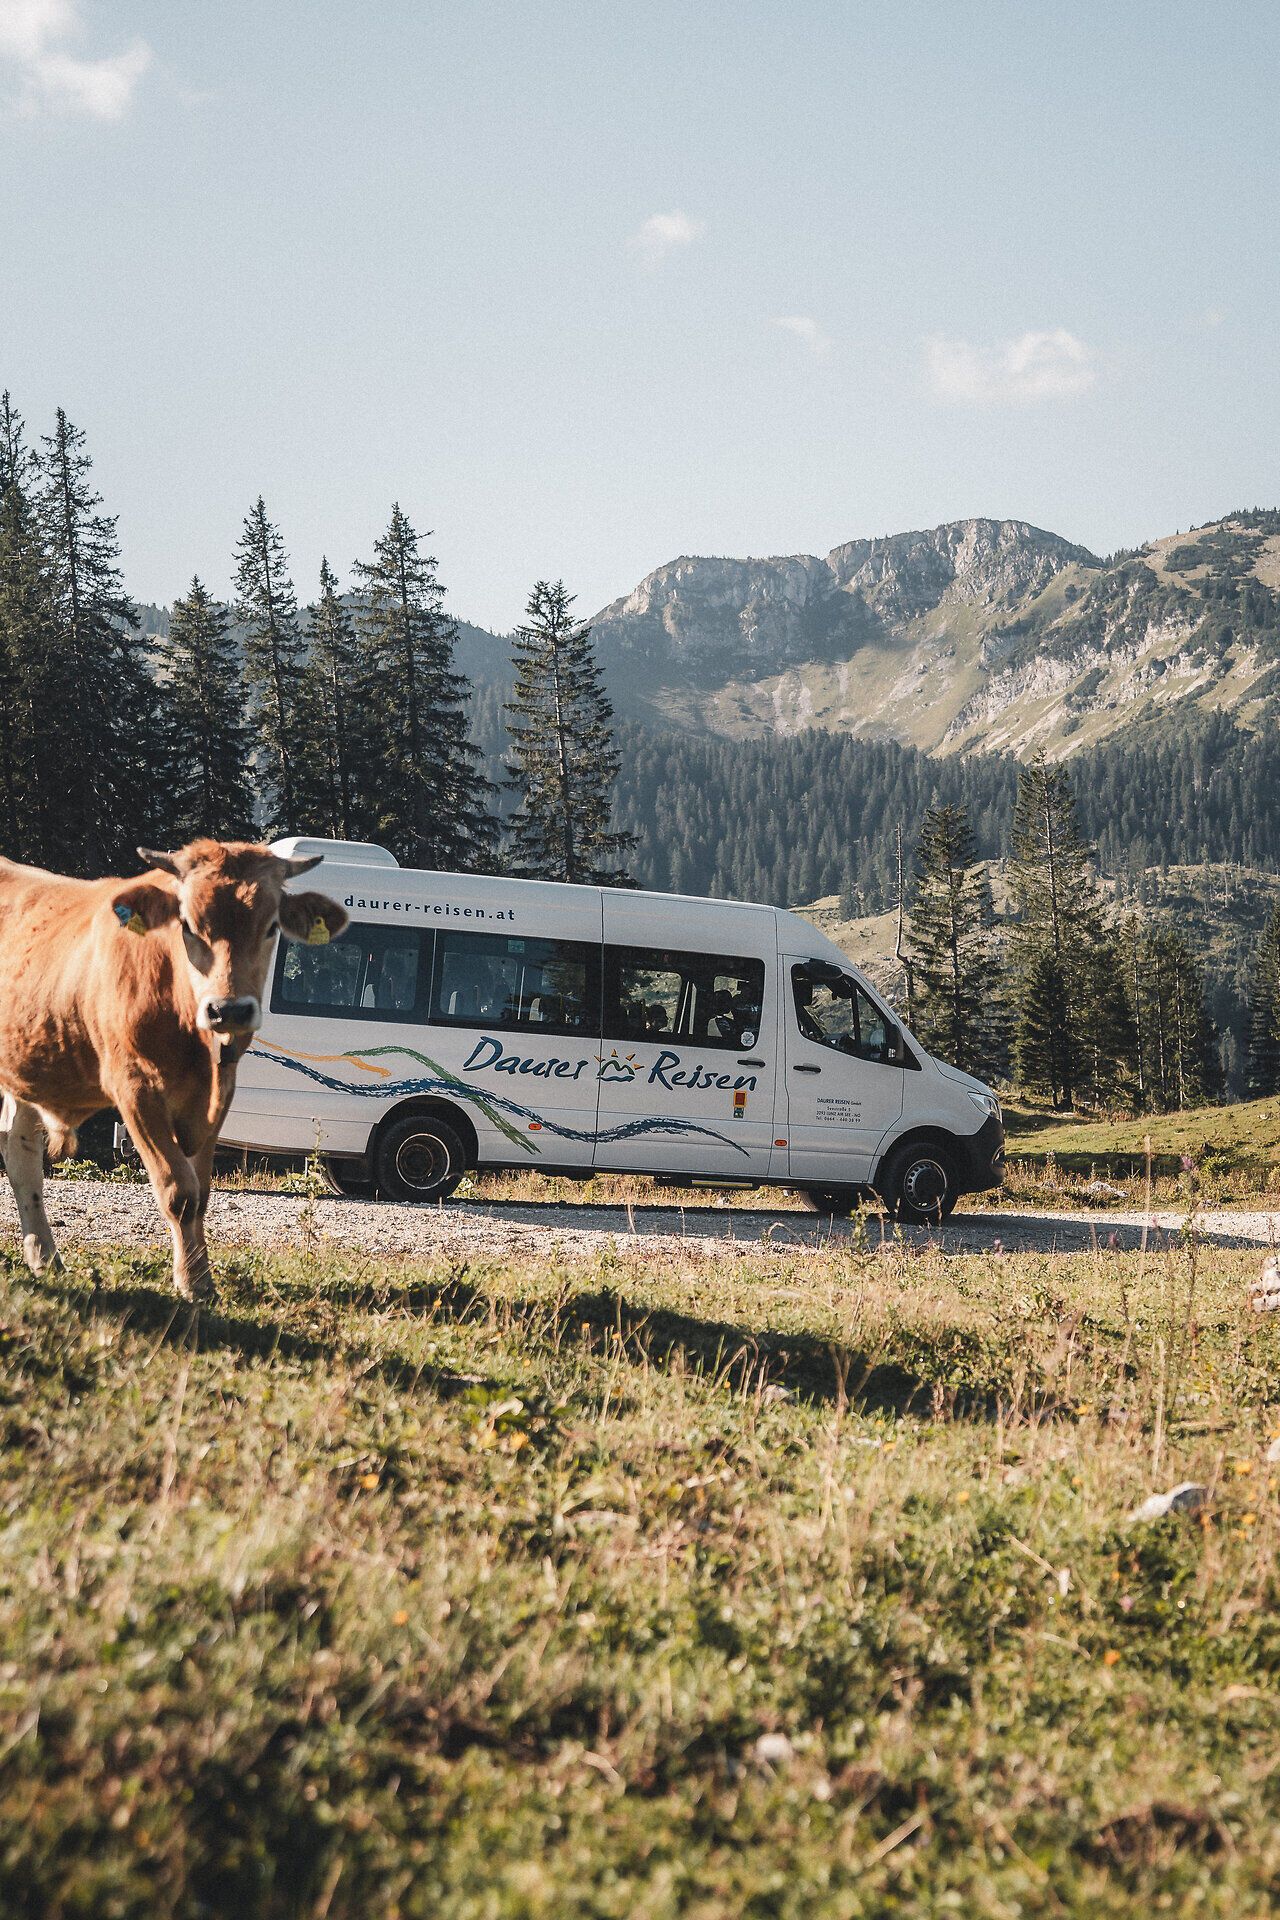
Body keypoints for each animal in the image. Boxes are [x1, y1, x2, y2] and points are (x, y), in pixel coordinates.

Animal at [0, 839, 348, 1301]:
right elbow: (178, 1191)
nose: (229, 1009)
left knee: (20, 1152)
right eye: (186, 924)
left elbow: (200, 1192)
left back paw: (45, 1258)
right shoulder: (135, 1089)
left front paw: (201, 1277)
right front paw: (192, 1284)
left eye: (272, 926)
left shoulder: (217, 1097)